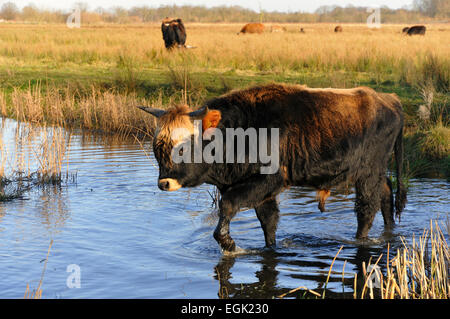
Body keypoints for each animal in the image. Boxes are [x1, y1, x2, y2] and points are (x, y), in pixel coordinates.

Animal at [138, 84, 408, 254]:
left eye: (183, 147)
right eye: (157, 147)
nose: (164, 183)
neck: (239, 133)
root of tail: (389, 99)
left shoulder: (267, 180)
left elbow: (228, 205)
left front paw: (228, 243)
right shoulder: (260, 191)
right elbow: (268, 222)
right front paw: (270, 248)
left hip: (368, 172)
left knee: (366, 209)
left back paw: (361, 240)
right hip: (376, 171)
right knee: (386, 194)